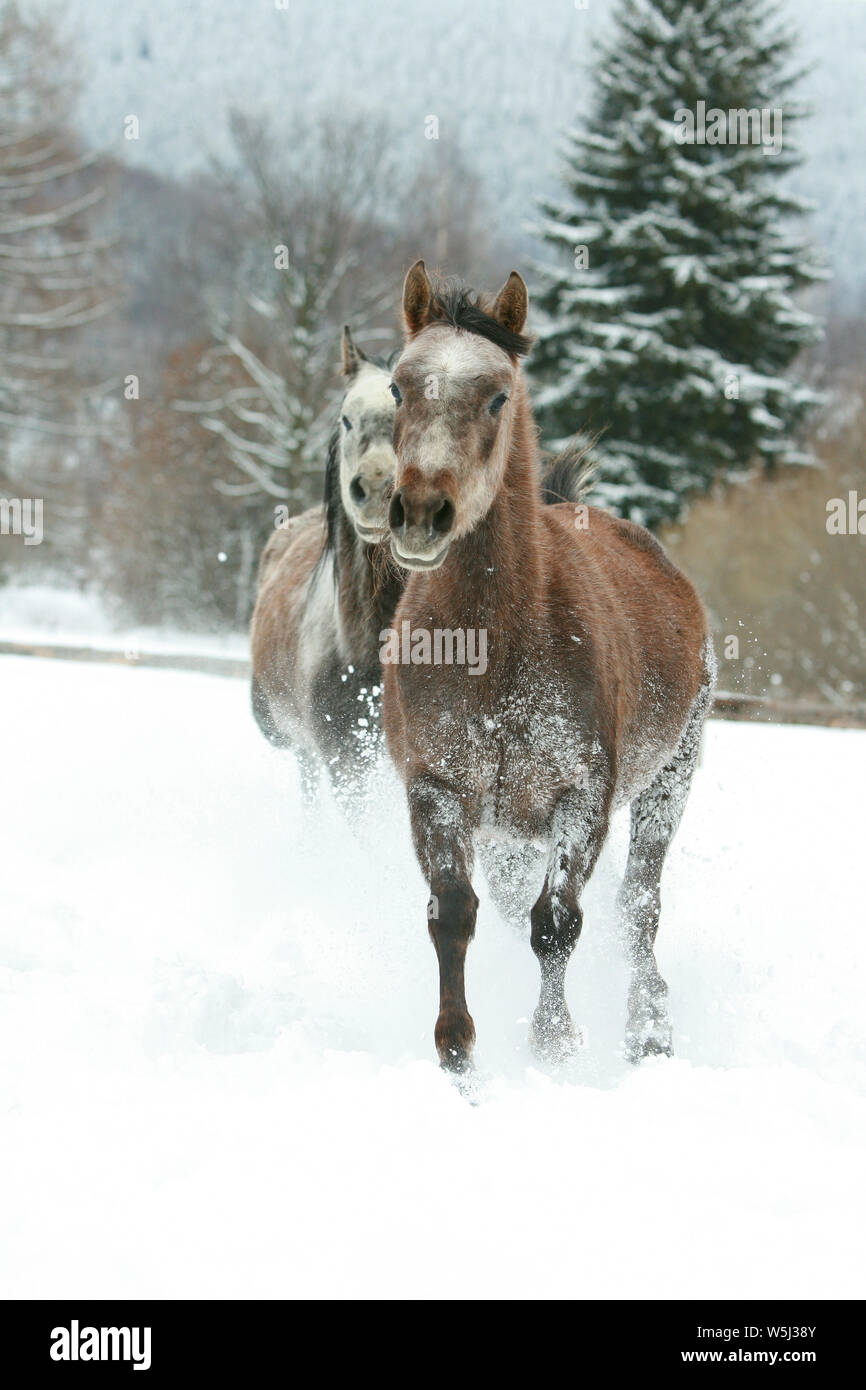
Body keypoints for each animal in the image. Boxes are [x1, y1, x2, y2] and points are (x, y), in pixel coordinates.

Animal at [382, 261, 716, 1074]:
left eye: (498, 395)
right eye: (399, 387)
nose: (421, 513)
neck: (495, 647)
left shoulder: (583, 797)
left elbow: (557, 921)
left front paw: (554, 1042)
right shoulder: (437, 790)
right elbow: (454, 914)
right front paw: (457, 1048)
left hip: (670, 779)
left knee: (639, 905)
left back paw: (648, 1027)